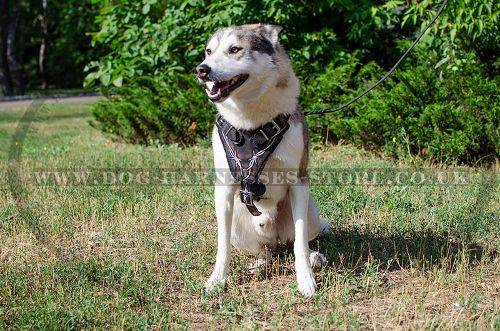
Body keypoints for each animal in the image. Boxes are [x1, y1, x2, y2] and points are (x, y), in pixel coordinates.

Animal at [197, 24, 330, 298]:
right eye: (208, 51)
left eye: (234, 49)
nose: (201, 70)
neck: (251, 124)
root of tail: (274, 235)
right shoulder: (223, 189)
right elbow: (222, 246)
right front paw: (217, 279)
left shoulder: (298, 182)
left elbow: (300, 243)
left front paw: (306, 279)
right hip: (238, 223)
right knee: (265, 252)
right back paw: (259, 265)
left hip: (311, 212)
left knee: (297, 240)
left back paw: (315, 258)